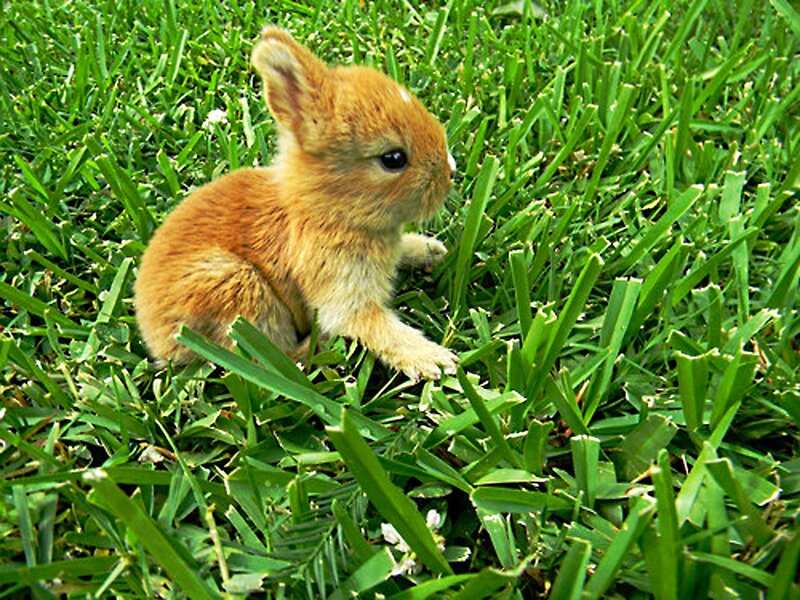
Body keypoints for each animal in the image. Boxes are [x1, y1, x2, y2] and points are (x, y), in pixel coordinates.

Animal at [134, 26, 459, 381]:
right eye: (394, 159)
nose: (450, 172)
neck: (321, 209)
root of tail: (154, 335)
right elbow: (375, 328)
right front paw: (437, 361)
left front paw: (431, 251)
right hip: (238, 288)